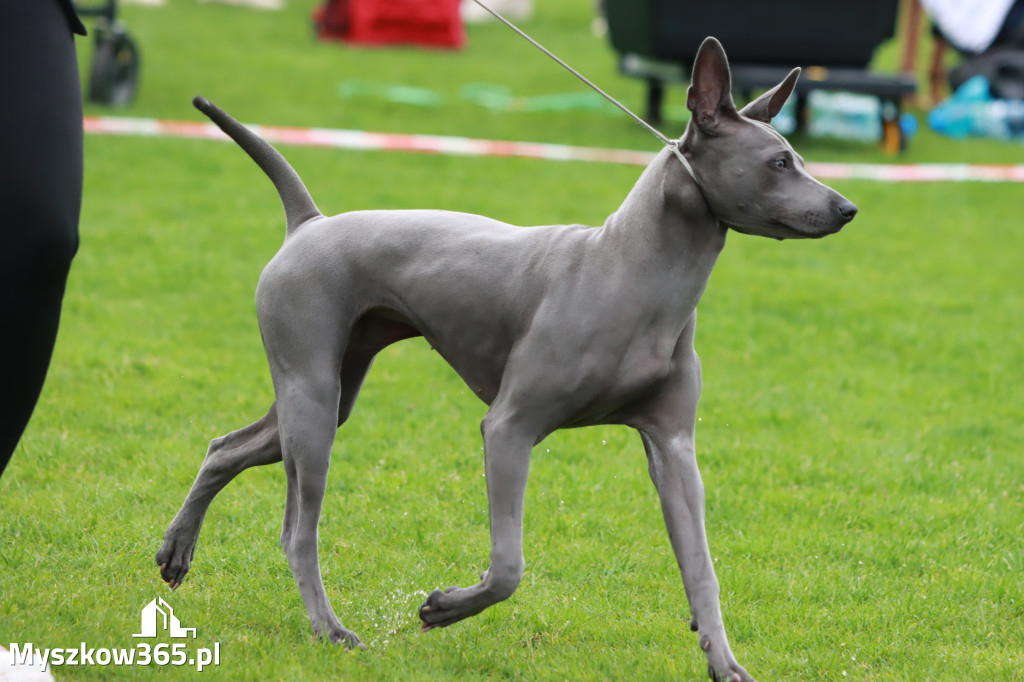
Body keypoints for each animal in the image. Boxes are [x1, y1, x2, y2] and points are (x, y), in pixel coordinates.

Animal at [153, 38, 856, 679]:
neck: (635, 270)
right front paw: (442, 608)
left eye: (797, 159)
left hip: (328, 392)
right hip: (314, 398)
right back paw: (330, 629)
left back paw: (177, 549)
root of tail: (310, 222)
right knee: (298, 532)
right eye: (779, 161)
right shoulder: (509, 428)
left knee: (225, 448)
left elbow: (701, 569)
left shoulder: (674, 448)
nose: (848, 207)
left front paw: (724, 661)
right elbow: (509, 566)